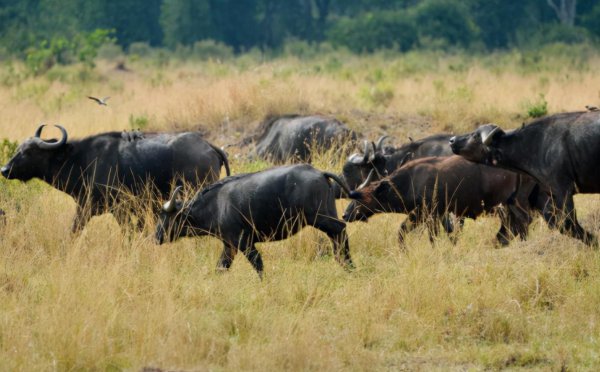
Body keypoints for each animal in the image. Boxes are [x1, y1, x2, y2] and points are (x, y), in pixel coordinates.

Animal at [1, 124, 231, 230]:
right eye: (19, 148)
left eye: (29, 152)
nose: (4, 169)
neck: (81, 160)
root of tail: (209, 146)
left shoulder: (113, 209)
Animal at [155, 164, 354, 278]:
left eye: (166, 216)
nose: (156, 237)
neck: (216, 205)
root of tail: (319, 173)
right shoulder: (229, 247)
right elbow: (220, 268)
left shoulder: (245, 243)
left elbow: (259, 266)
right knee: (337, 235)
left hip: (319, 218)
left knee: (340, 229)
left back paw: (348, 265)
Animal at [344, 155, 532, 246]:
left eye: (361, 198)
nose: (345, 215)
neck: (411, 180)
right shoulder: (425, 215)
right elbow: (403, 232)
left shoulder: (429, 215)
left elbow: (431, 237)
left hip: (507, 205)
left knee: (521, 223)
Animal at [448, 110, 600, 246]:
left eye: (475, 136)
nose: (452, 140)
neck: (536, 145)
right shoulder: (548, 195)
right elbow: (557, 224)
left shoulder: (563, 191)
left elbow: (568, 224)